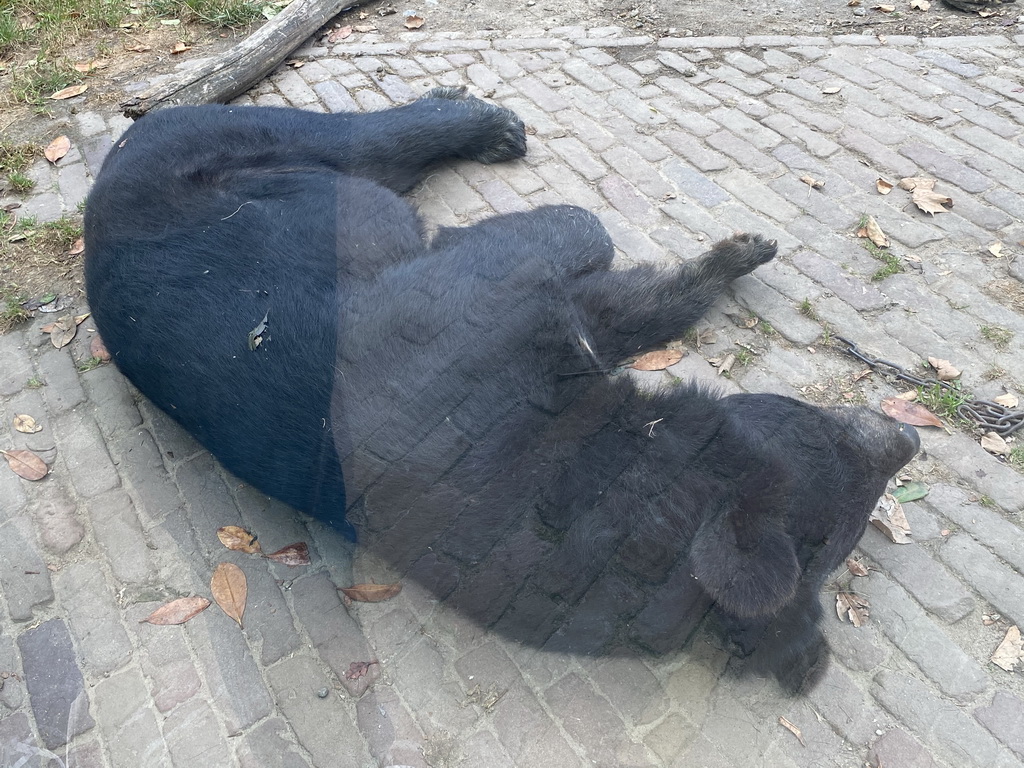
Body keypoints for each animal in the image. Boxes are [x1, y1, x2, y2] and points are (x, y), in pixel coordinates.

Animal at [86, 90, 921, 692]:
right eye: (819, 428)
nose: (908, 436)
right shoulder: (479, 315)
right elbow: (572, 237)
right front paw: (737, 251)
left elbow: (616, 305)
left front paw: (727, 259)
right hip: (223, 147)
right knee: (357, 136)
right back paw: (483, 122)